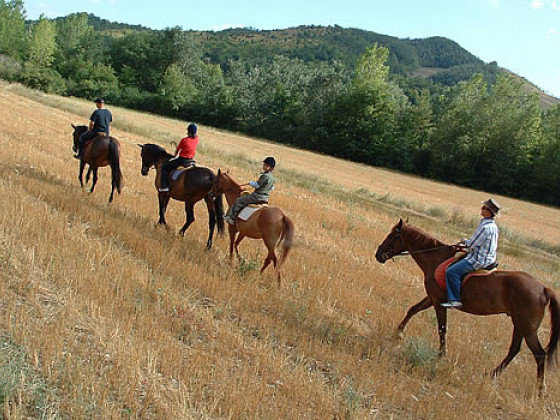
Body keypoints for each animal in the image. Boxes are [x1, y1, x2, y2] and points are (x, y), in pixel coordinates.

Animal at [374, 220, 556, 394]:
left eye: (392, 235)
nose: (378, 255)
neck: (436, 260)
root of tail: (543, 288)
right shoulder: (432, 298)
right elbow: (413, 309)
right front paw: (398, 333)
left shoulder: (438, 302)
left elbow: (442, 328)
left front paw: (442, 355)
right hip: (519, 325)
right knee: (514, 350)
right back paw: (491, 375)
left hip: (527, 328)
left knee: (539, 354)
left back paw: (540, 389)